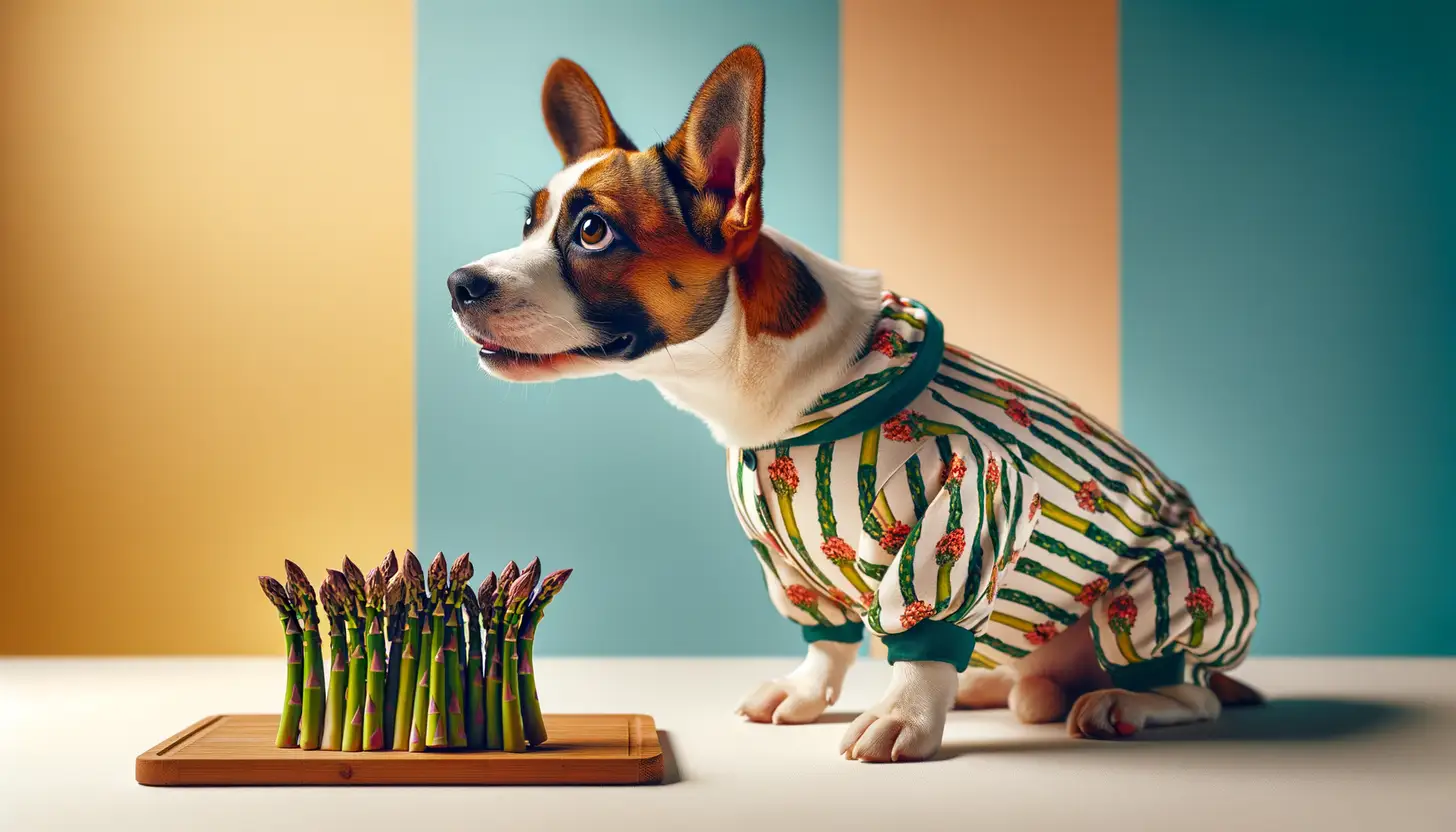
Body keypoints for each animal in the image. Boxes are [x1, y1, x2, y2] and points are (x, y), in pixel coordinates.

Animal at [448, 43, 1257, 763]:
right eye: (528, 225)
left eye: (593, 232)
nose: (460, 283)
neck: (761, 387)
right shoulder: (786, 559)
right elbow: (828, 642)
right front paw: (809, 693)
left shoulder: (966, 500)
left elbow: (922, 635)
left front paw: (905, 716)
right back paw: (993, 687)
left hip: (1159, 597)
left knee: (1190, 690)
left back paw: (1121, 701)